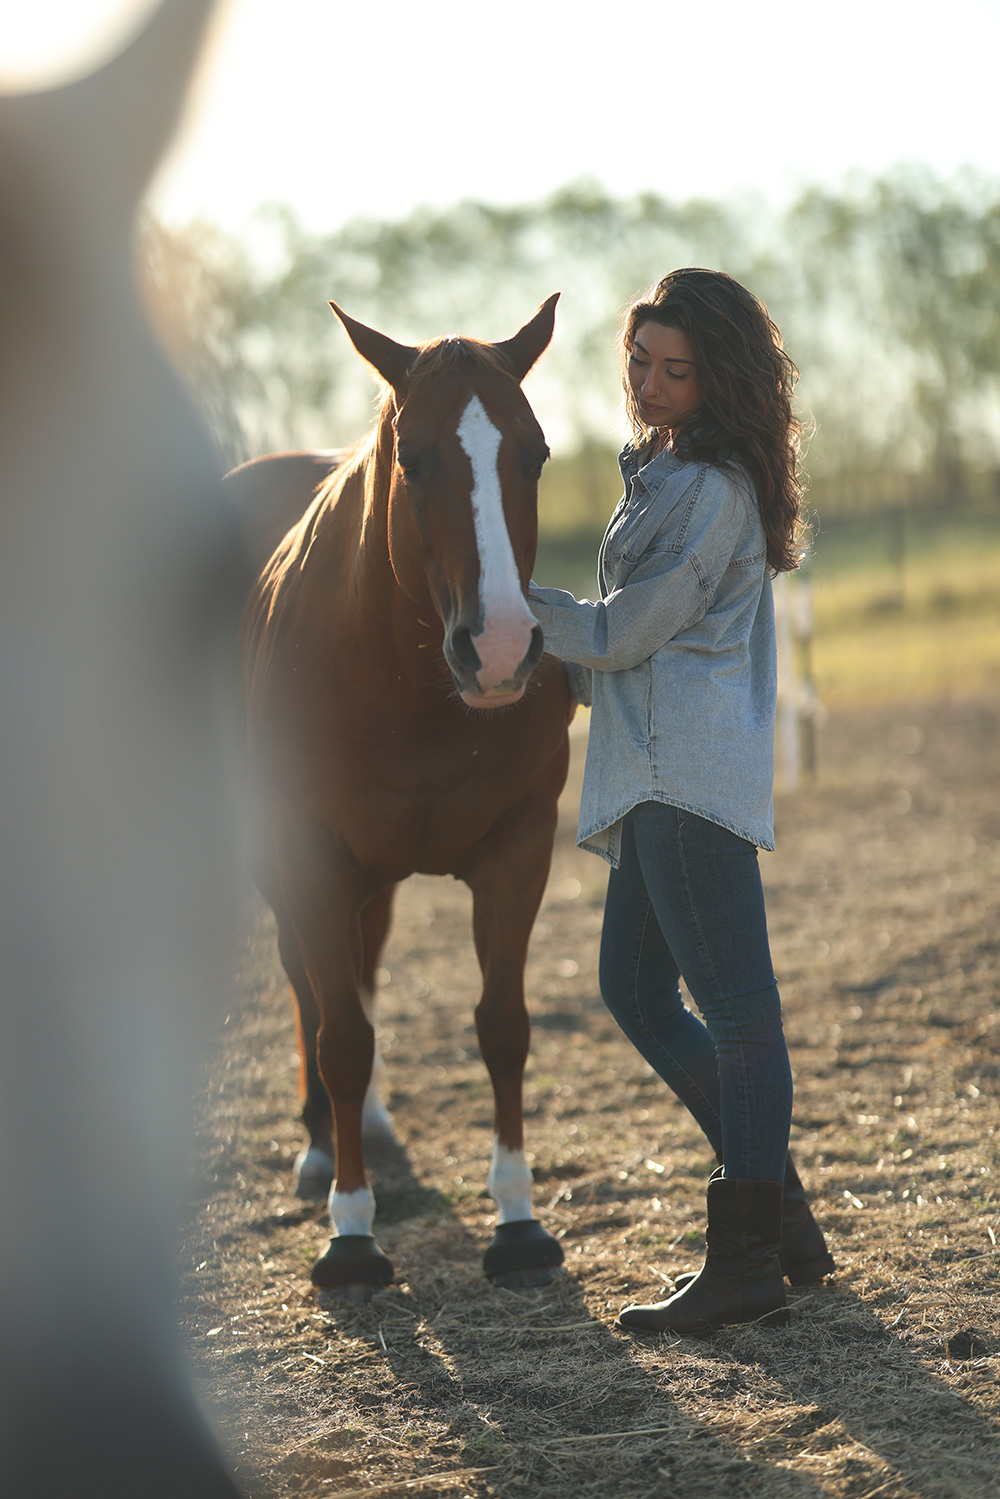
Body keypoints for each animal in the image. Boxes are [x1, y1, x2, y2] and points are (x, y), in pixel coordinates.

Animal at [229, 298, 572, 1295]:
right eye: (413, 459)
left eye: (536, 453)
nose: (500, 650)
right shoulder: (307, 853)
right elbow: (340, 1036)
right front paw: (351, 1232)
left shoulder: (517, 846)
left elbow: (503, 1025)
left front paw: (519, 1221)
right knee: (312, 989)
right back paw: (321, 1150)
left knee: (361, 965)